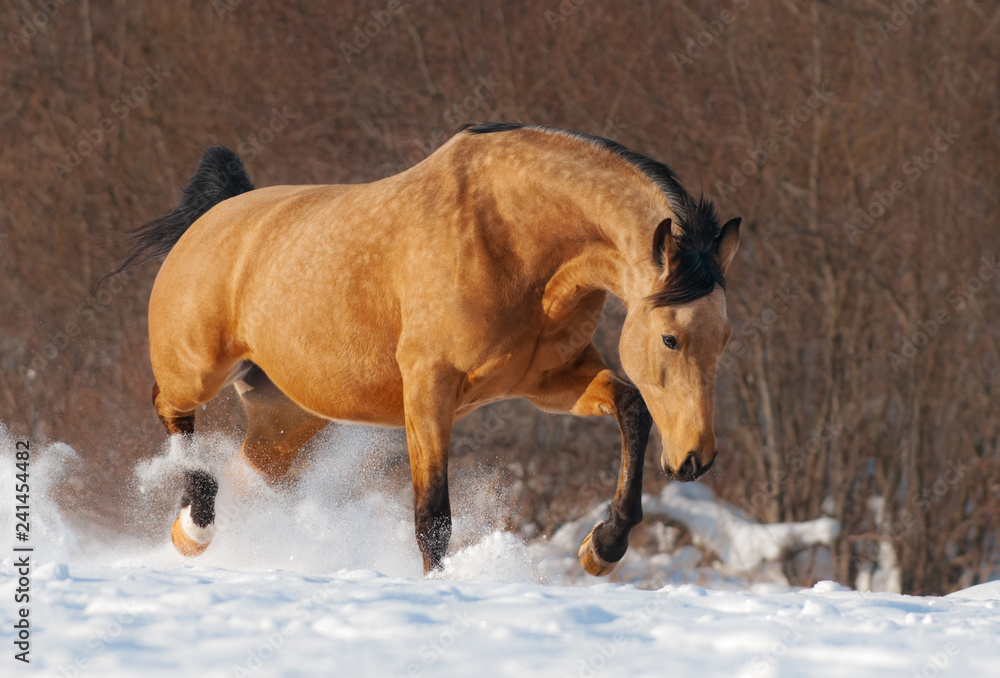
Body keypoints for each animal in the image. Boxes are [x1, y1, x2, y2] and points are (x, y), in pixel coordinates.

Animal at [105, 123, 740, 580]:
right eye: (670, 337)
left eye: (725, 338)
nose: (696, 459)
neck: (510, 235)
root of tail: (215, 215)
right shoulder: (430, 390)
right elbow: (433, 516)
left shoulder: (550, 381)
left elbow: (631, 408)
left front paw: (602, 547)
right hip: (199, 368)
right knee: (170, 409)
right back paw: (195, 524)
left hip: (286, 420)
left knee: (245, 474)